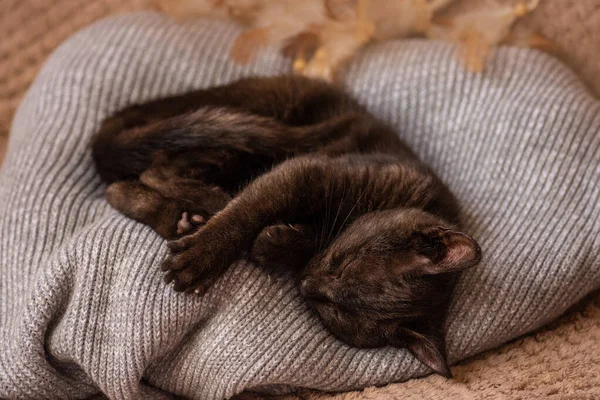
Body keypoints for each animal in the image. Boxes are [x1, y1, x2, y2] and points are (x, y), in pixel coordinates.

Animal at [90, 76, 482, 378]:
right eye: (342, 264)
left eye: (334, 311)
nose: (308, 286)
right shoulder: (307, 172)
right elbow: (247, 212)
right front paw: (203, 256)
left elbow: (276, 237)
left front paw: (277, 241)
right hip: (249, 135)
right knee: (155, 171)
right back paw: (207, 203)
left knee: (121, 186)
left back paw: (182, 218)